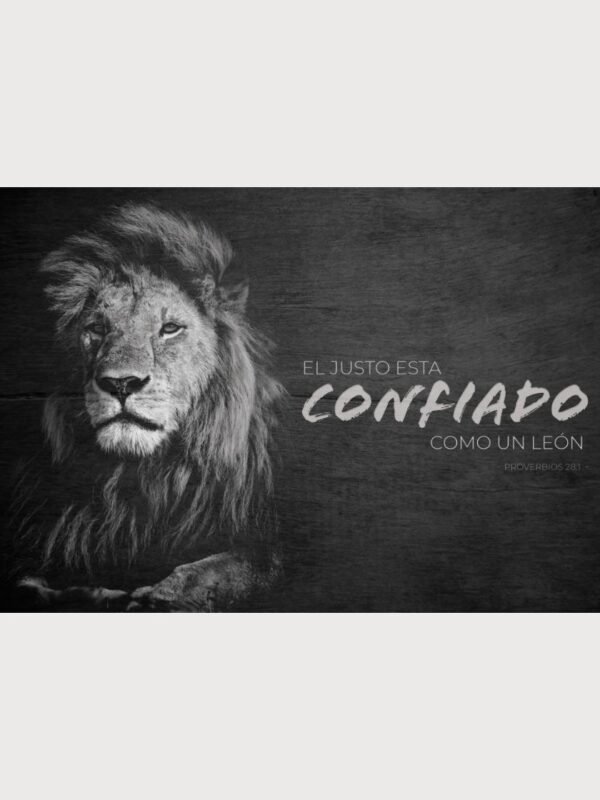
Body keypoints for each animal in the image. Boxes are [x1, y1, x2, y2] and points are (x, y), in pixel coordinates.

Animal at [5, 203, 286, 611]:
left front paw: (160, 596)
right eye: (97, 329)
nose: (121, 383)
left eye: (169, 329)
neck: (140, 481)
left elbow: (232, 569)